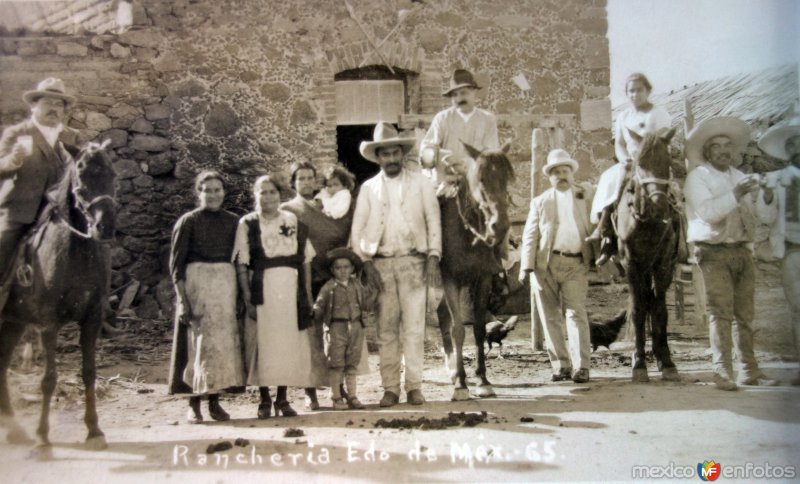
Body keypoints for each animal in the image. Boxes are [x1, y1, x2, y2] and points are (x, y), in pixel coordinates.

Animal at [0, 141, 115, 450]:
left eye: (112, 172)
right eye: (81, 174)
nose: (105, 227)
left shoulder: (92, 319)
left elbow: (89, 372)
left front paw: (94, 430)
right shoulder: (48, 323)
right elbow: (48, 379)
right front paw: (42, 435)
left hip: (13, 322)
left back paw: (13, 429)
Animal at [438, 141, 512, 400]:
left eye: (508, 178)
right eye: (480, 178)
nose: (499, 226)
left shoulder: (483, 279)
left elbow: (479, 329)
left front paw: (482, 380)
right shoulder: (450, 279)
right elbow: (459, 329)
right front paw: (461, 385)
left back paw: (451, 369)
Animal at [616, 127, 680, 382]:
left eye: (668, 162)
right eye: (640, 164)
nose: (660, 205)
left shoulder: (663, 264)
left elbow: (660, 310)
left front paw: (668, 363)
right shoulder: (632, 265)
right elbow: (637, 311)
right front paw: (639, 364)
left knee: (653, 301)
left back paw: (661, 356)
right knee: (643, 301)